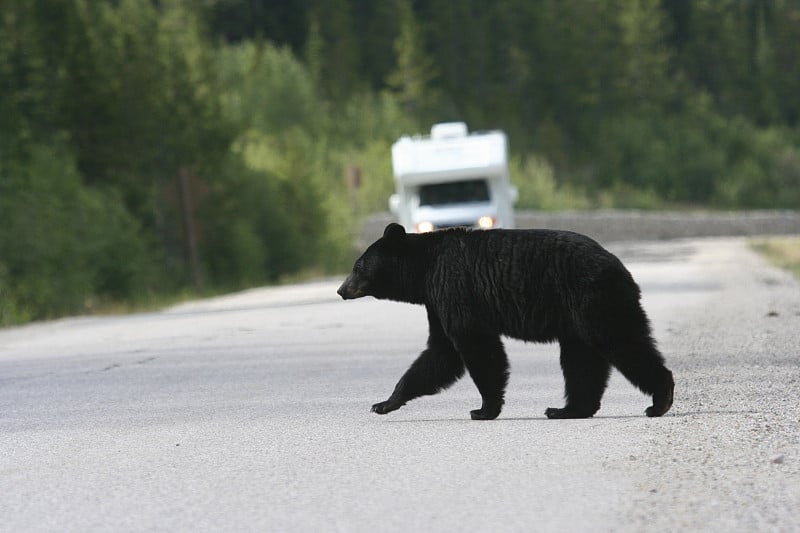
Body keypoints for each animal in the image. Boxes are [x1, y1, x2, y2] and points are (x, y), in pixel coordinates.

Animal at [338, 222, 676, 418]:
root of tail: (623, 269)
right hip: (577, 318)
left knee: (622, 342)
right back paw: (567, 410)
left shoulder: (454, 289)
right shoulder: (436, 302)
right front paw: (385, 402)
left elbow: (474, 348)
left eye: (357, 266)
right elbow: (440, 353)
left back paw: (659, 401)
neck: (424, 270)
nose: (341, 289)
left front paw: (483, 409)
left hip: (594, 300)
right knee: (581, 361)